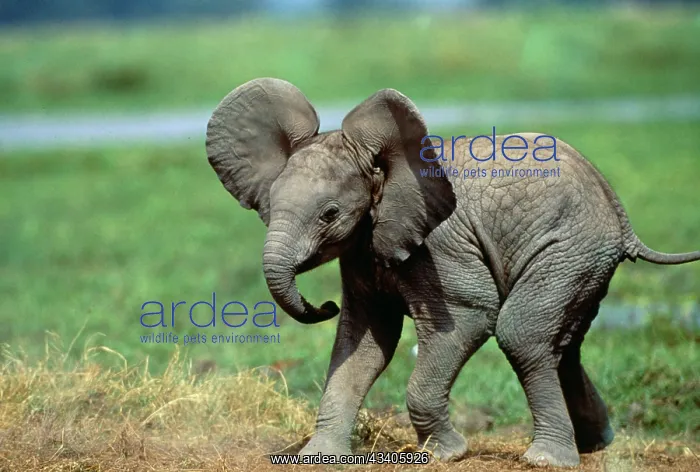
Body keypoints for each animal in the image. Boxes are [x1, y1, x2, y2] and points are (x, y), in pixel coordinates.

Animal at [204, 78, 700, 468]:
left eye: (329, 214)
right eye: (270, 204)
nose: (320, 305)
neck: (385, 169)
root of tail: (615, 207)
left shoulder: (440, 248)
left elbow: (466, 318)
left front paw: (446, 454)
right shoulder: (363, 251)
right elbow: (365, 341)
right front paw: (318, 458)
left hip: (570, 247)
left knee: (521, 333)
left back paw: (546, 459)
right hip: (580, 259)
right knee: (563, 343)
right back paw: (595, 446)